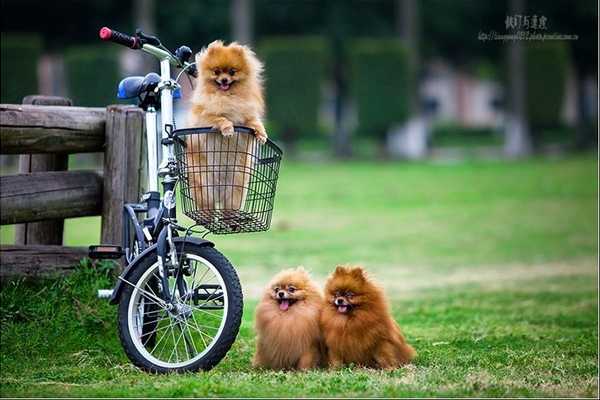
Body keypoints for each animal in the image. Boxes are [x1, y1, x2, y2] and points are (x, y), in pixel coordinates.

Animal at [185, 39, 264, 222]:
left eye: (232, 72)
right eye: (217, 72)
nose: (224, 80)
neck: (228, 97)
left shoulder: (246, 116)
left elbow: (254, 122)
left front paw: (262, 134)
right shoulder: (204, 117)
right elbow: (219, 119)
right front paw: (228, 128)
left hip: (236, 188)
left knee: (228, 209)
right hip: (204, 186)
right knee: (207, 208)